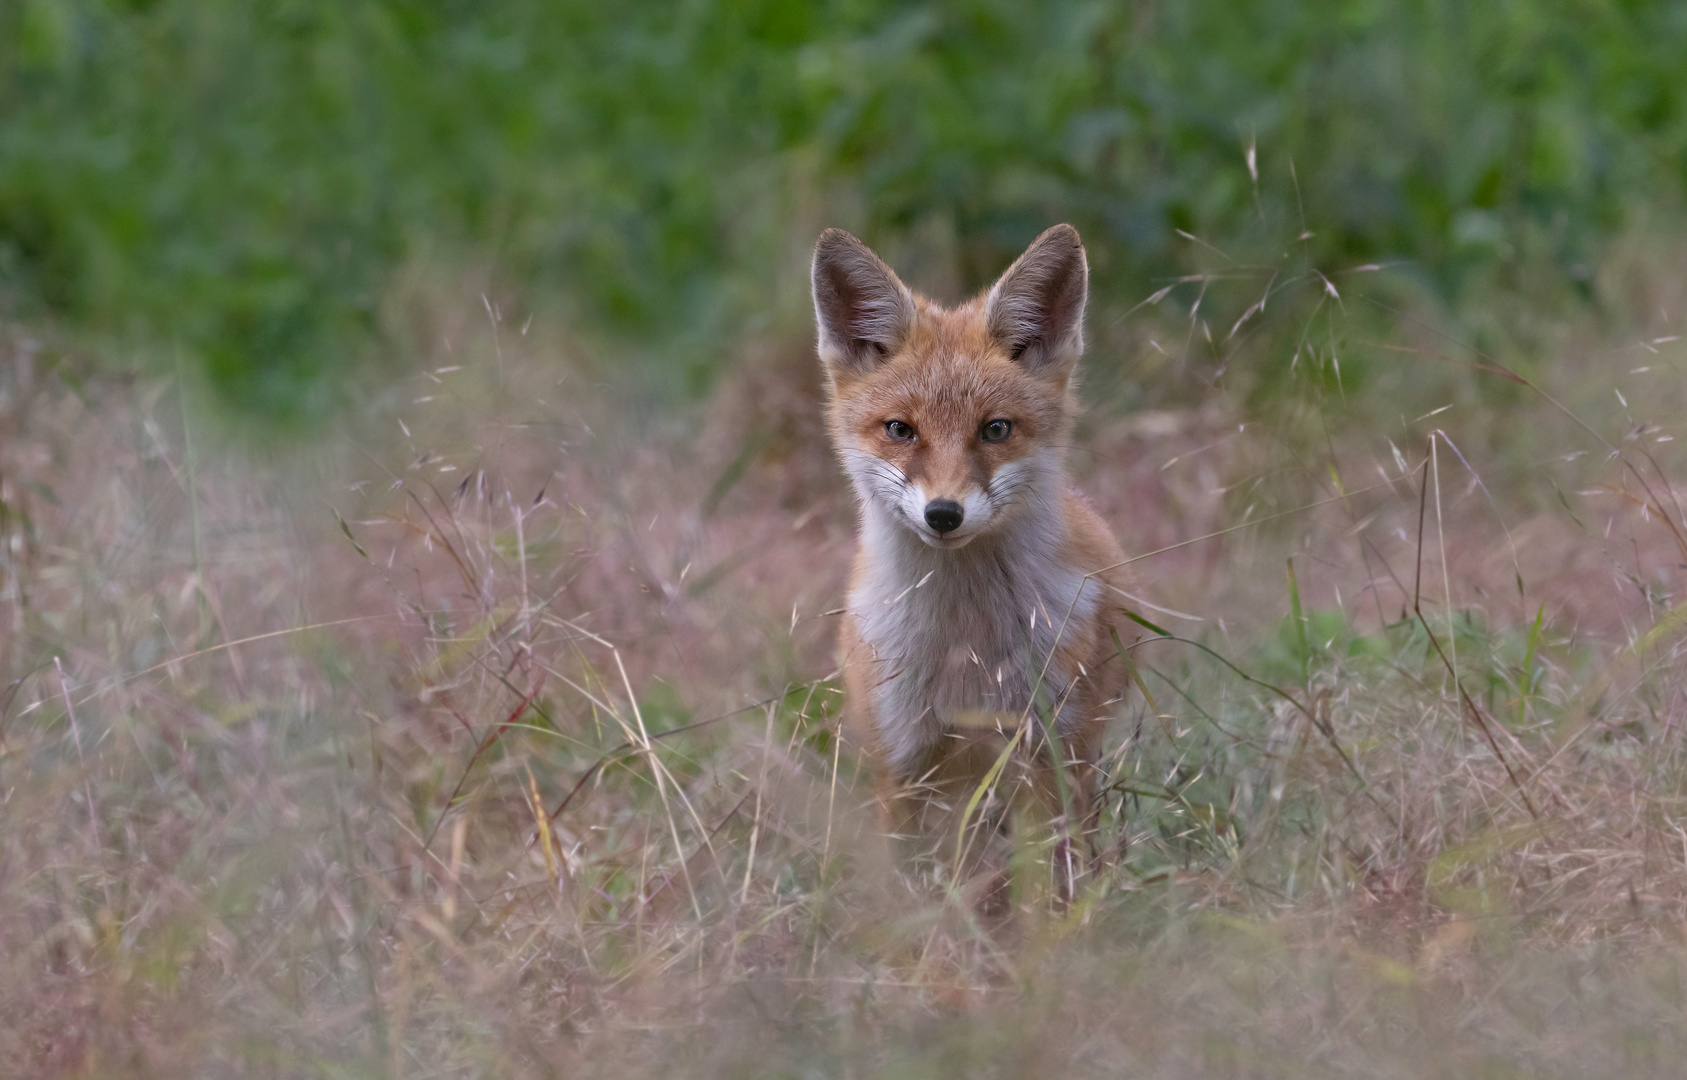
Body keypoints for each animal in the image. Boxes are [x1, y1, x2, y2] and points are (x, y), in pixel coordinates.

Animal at [813, 221, 1133, 891]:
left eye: (995, 429)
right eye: (900, 429)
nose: (944, 514)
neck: (964, 641)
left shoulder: (1049, 755)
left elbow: (1046, 891)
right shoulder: (902, 763)